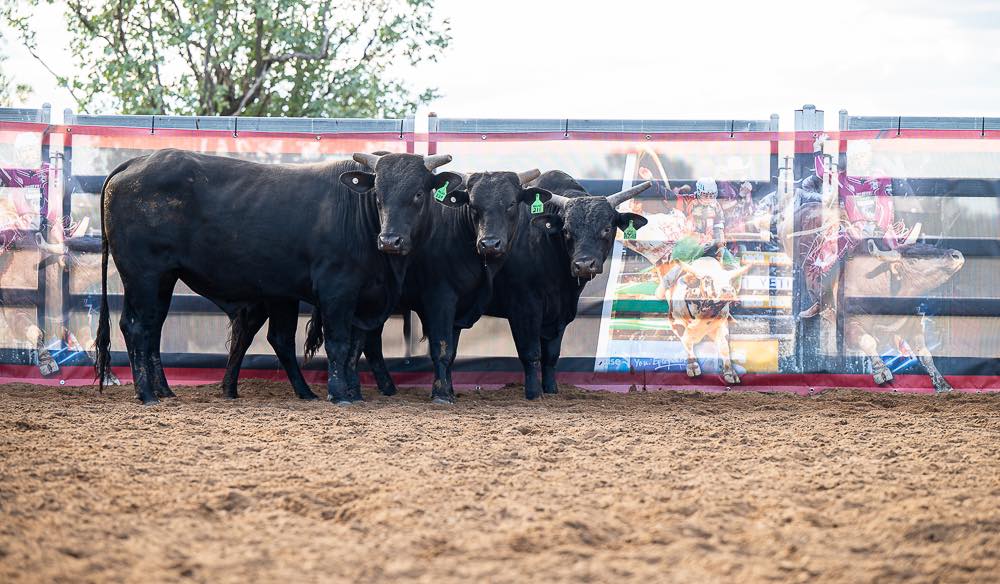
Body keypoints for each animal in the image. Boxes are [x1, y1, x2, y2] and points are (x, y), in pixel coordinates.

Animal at [94, 149, 462, 405]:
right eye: (378, 195)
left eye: (418, 194)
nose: (390, 240)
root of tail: (138, 161)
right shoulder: (337, 289)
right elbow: (339, 343)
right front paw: (339, 394)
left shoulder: (361, 298)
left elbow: (354, 344)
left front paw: (351, 392)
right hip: (142, 274)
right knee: (135, 326)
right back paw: (146, 394)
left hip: (164, 278)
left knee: (153, 328)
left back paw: (164, 390)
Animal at [665, 256, 752, 384]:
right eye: (707, 279)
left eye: (729, 280)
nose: (728, 290)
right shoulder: (677, 324)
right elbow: (687, 343)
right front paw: (693, 366)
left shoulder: (721, 326)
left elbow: (724, 347)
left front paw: (730, 373)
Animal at [846, 240, 965, 393]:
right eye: (913, 259)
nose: (957, 255)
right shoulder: (850, 323)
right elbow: (868, 341)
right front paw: (881, 371)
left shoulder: (913, 324)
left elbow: (924, 353)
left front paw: (941, 383)